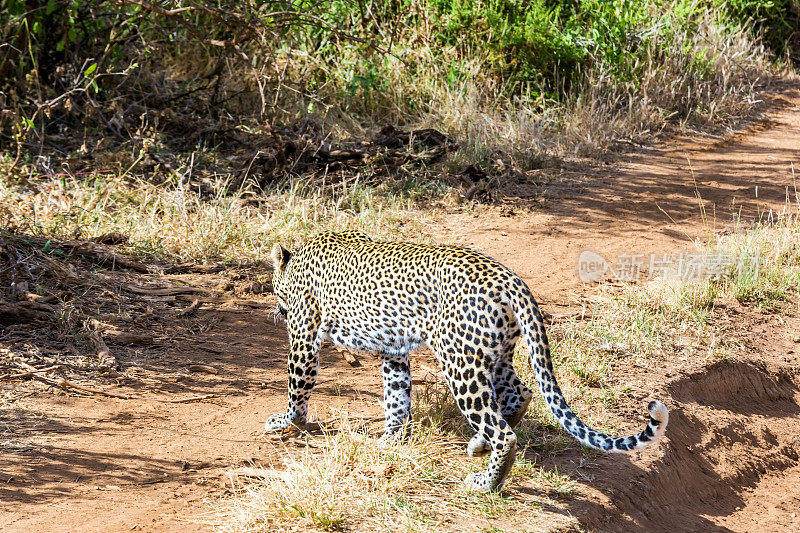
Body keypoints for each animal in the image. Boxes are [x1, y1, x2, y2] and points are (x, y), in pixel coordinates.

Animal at [264, 231, 668, 488]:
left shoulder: (303, 335)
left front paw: (285, 421)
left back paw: (486, 482)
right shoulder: (394, 350)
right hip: (493, 353)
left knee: (505, 432)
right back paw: (479, 444)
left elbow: (297, 385)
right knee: (520, 392)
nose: (277, 310)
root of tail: (509, 278)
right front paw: (392, 437)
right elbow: (397, 395)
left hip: (460, 363)